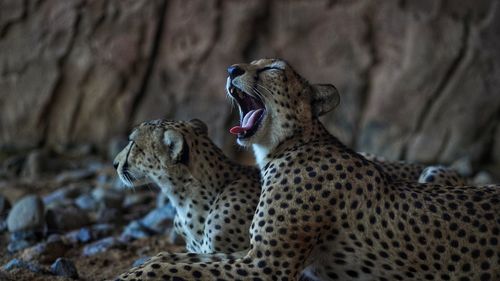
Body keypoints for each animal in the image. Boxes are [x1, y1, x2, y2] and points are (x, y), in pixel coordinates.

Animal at [114, 58, 496, 278]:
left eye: (271, 69)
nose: (231, 70)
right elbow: (180, 258)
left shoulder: (265, 263)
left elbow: (168, 262)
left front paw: (133, 273)